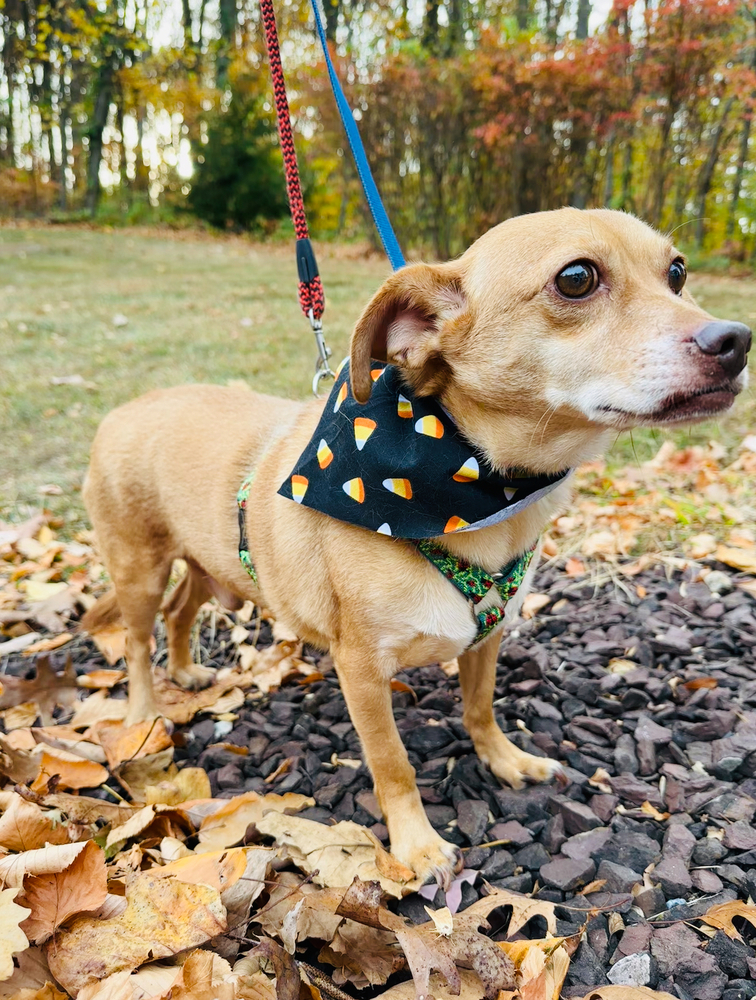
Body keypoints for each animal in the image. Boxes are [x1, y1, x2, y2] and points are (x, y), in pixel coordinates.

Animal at [84, 209, 752, 884]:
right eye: (577, 278)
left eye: (677, 272)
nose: (736, 340)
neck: (473, 486)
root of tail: (122, 409)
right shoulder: (360, 670)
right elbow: (393, 764)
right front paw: (417, 845)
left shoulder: (486, 638)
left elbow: (480, 708)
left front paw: (505, 760)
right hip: (140, 571)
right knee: (137, 642)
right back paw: (143, 714)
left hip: (205, 563)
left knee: (180, 612)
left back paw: (186, 670)